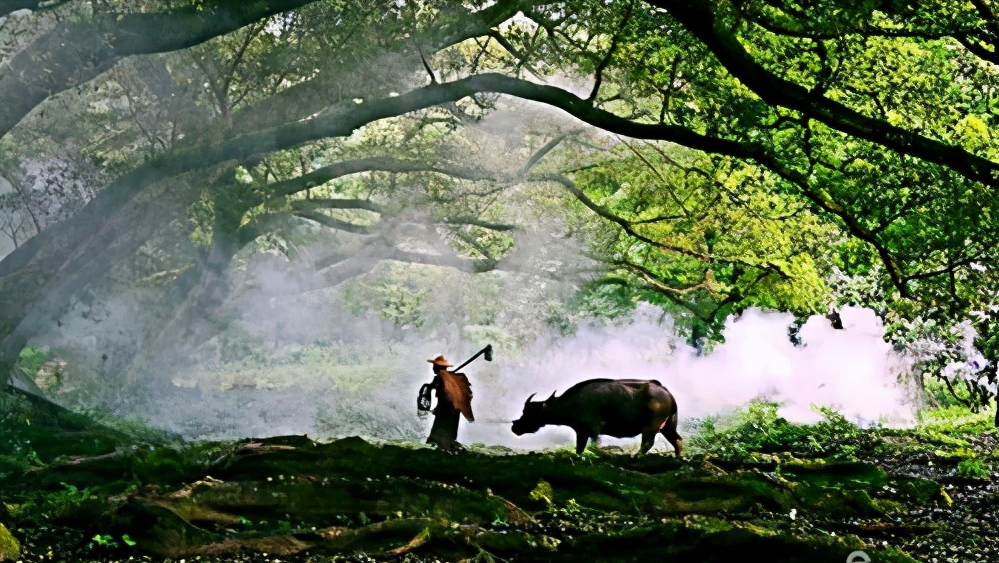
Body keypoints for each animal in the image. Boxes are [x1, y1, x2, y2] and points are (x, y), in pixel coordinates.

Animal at [512, 378, 684, 458]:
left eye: (528, 412)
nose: (515, 427)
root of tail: (667, 393)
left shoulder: (594, 429)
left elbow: (594, 447)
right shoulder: (581, 432)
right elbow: (580, 449)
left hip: (651, 427)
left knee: (647, 444)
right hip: (668, 426)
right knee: (677, 440)